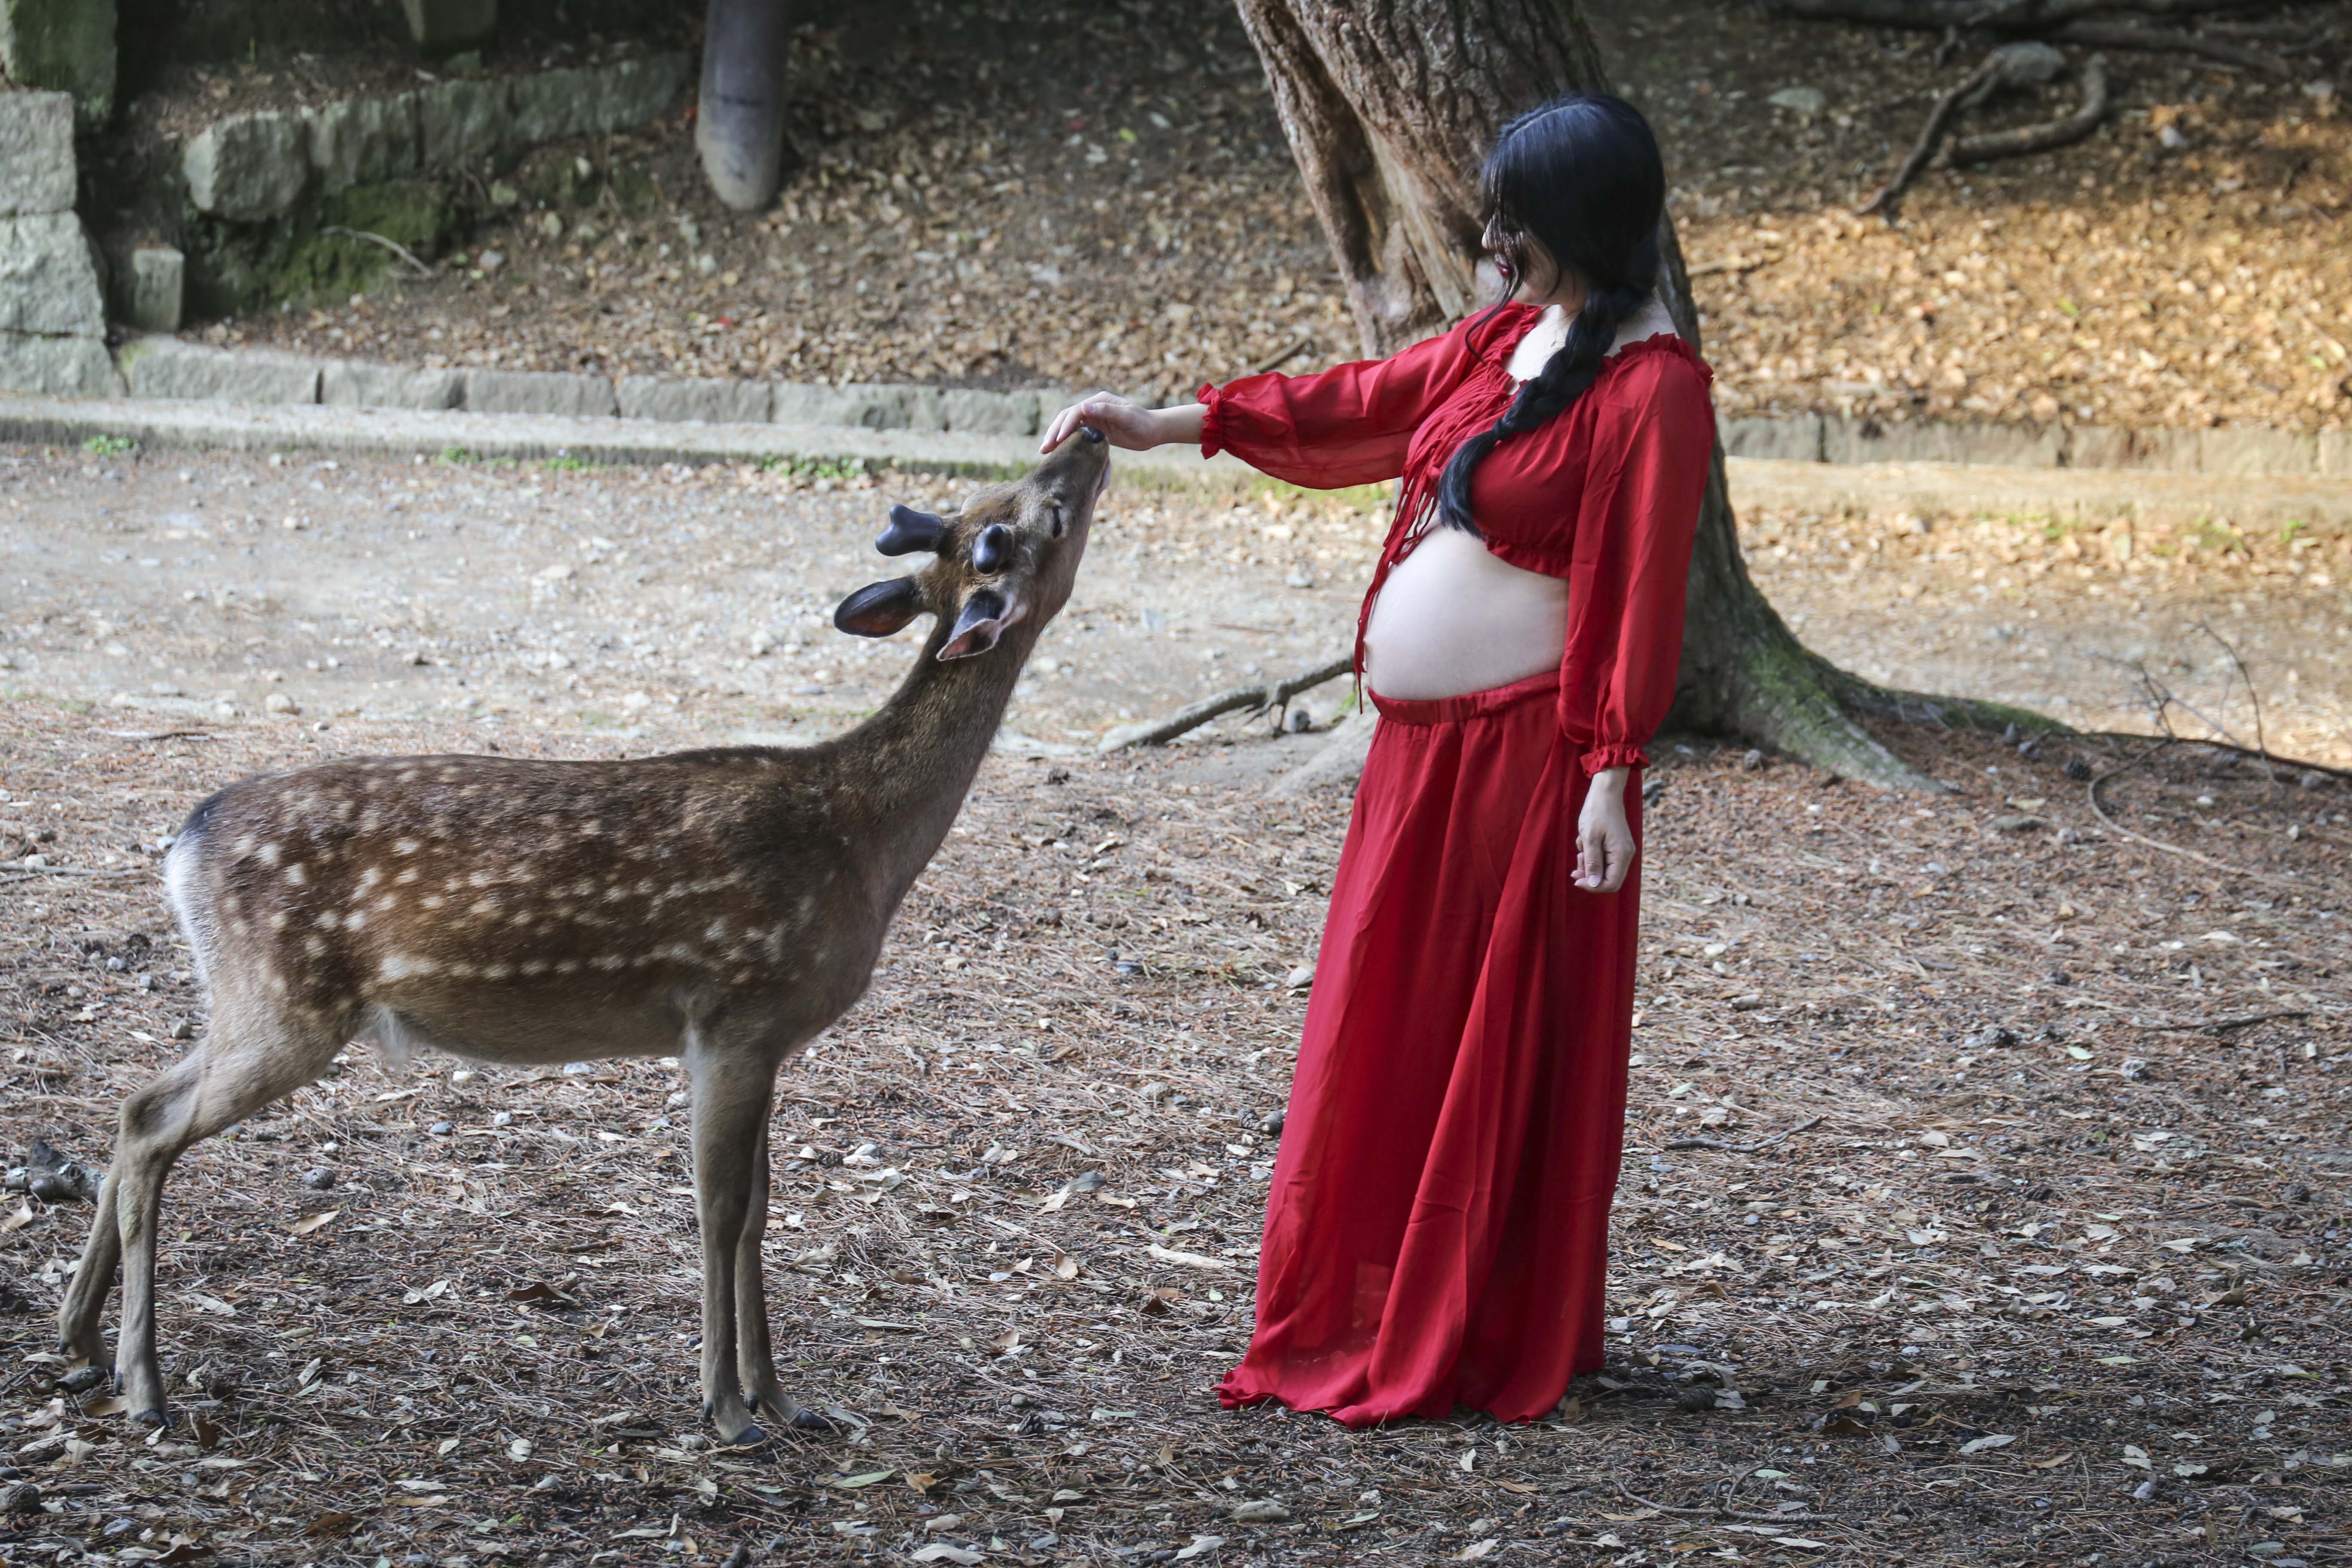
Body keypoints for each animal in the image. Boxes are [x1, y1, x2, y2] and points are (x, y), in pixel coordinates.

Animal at [57, 423, 1110, 1439]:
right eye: (1031, 521)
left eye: (1002, 502)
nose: (1089, 439)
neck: (862, 840)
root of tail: (183, 842)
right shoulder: (733, 1012)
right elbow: (721, 1210)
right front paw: (728, 1411)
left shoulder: (766, 1037)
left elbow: (763, 1210)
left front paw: (787, 1400)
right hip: (287, 1001)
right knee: (152, 1128)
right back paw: (145, 1386)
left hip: (254, 997)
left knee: (135, 1104)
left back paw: (81, 1341)